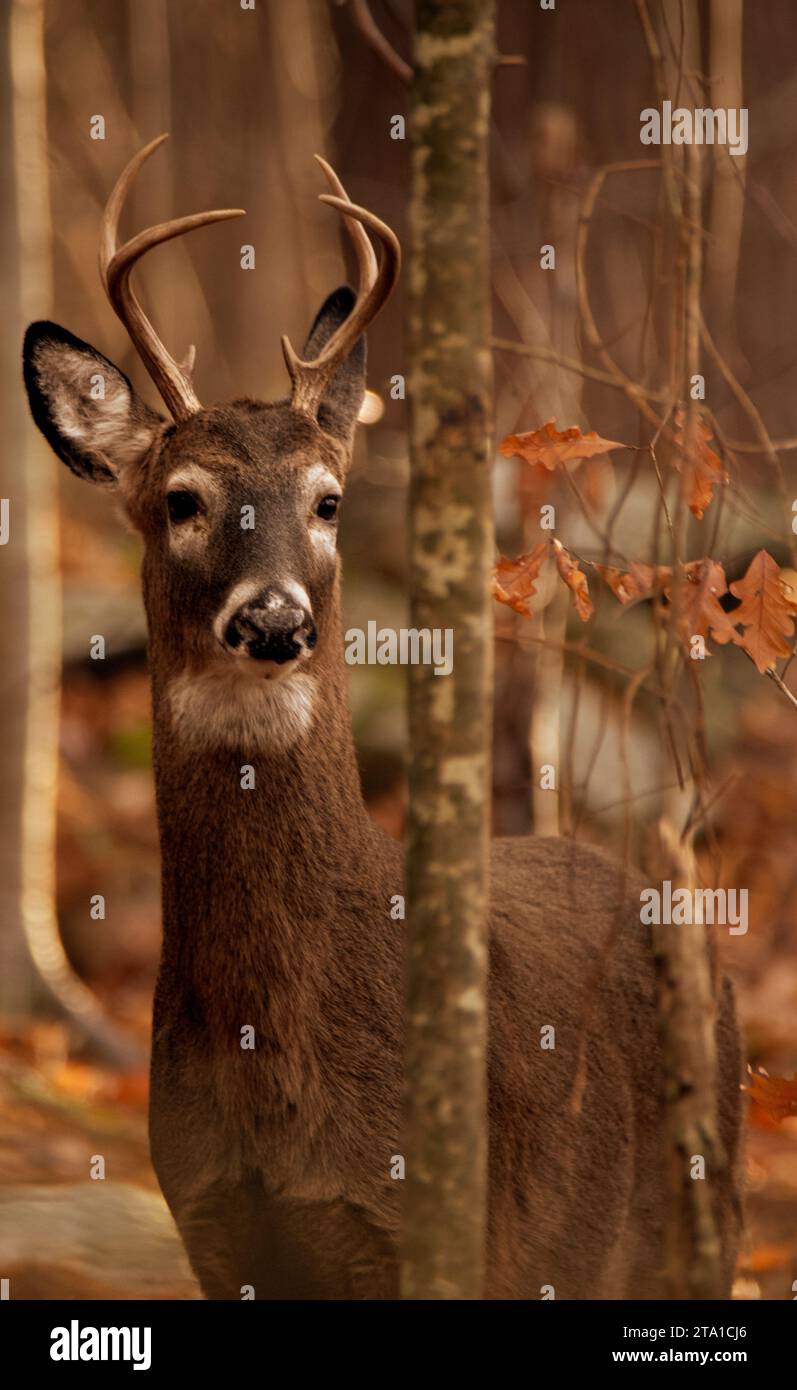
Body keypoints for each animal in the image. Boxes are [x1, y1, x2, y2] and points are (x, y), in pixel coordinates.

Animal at [21, 135, 745, 1295]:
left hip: (701, 1203)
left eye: (327, 499)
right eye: (181, 499)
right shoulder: (211, 1224)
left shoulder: (450, 1230)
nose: (274, 620)